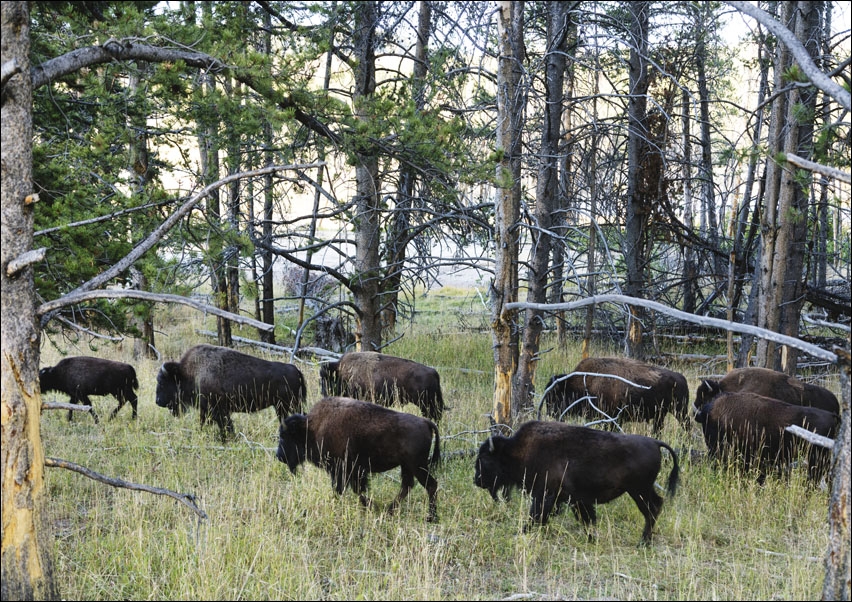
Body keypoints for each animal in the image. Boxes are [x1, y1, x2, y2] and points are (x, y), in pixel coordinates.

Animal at [156, 344, 306, 439]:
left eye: (162, 382)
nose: (158, 401)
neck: (187, 373)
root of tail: (296, 370)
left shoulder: (218, 410)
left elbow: (225, 426)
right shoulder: (206, 410)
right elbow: (204, 422)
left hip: (290, 404)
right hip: (282, 406)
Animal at [277, 396, 440, 522]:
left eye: (285, 436)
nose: (279, 456)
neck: (310, 428)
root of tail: (426, 422)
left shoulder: (344, 470)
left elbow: (349, 489)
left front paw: (370, 506)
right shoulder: (350, 472)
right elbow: (353, 489)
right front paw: (371, 506)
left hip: (417, 466)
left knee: (430, 485)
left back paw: (430, 518)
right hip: (407, 466)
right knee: (407, 486)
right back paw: (390, 510)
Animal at [474, 421, 679, 544]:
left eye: (484, 458)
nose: (477, 480)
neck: (517, 451)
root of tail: (655, 443)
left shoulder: (546, 496)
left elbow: (536, 516)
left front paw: (521, 533)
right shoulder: (576, 500)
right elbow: (586, 519)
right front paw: (591, 539)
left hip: (638, 491)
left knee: (651, 509)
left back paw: (642, 543)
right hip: (643, 489)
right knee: (657, 505)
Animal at [542, 357, 691, 434]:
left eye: (556, 395)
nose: (550, 412)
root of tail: (681, 377)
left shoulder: (612, 418)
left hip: (679, 411)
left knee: (687, 425)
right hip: (661, 414)